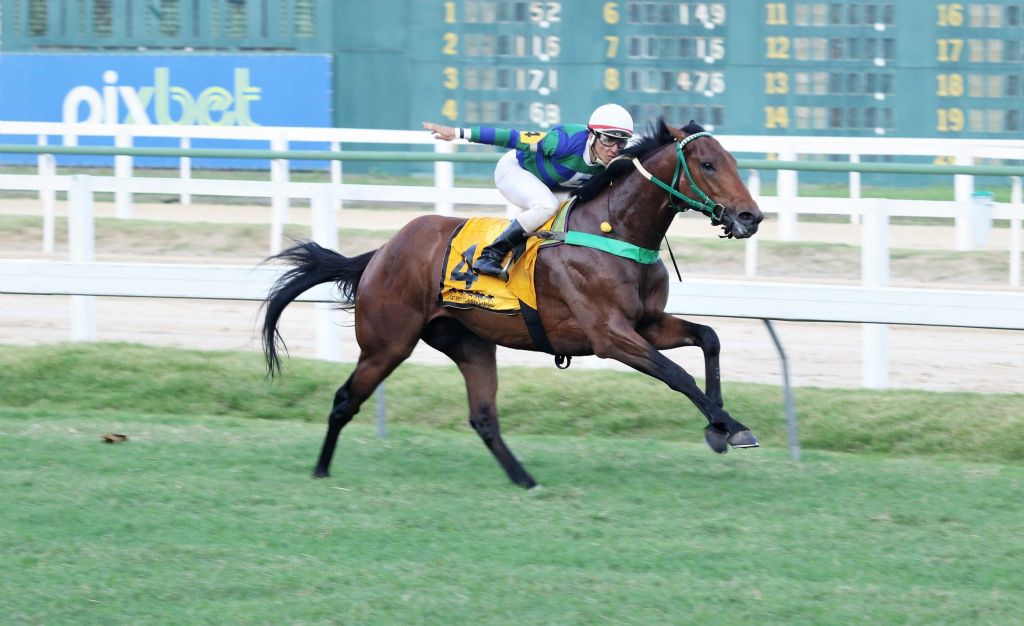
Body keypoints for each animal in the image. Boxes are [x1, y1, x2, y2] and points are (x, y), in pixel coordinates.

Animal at [262, 118, 761, 489]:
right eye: (708, 164)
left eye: (734, 161)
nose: (750, 217)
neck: (614, 229)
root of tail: (381, 252)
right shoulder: (609, 335)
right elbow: (677, 374)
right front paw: (730, 426)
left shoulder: (647, 322)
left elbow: (709, 338)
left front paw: (722, 427)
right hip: (387, 342)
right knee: (345, 399)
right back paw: (320, 470)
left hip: (470, 344)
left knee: (483, 418)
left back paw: (525, 479)